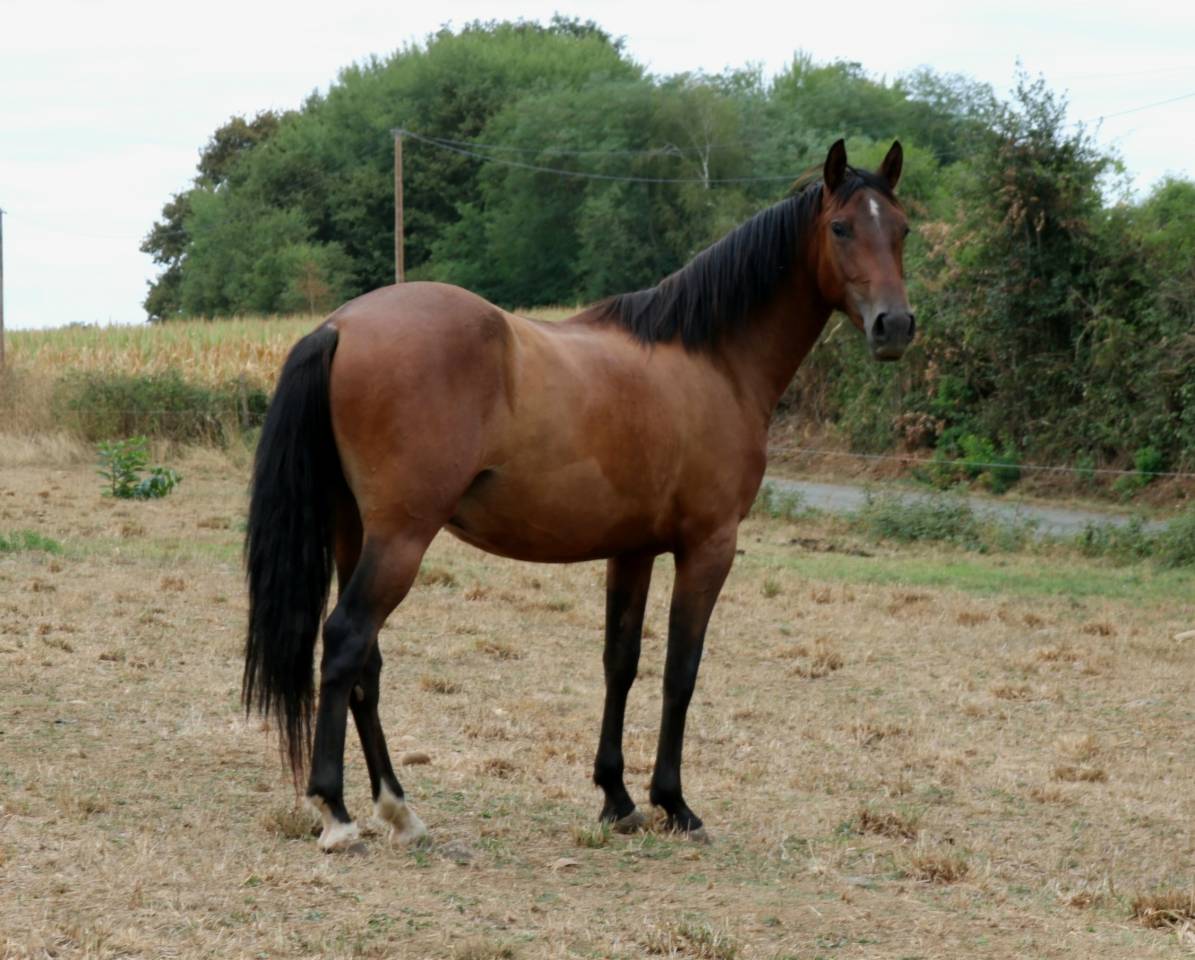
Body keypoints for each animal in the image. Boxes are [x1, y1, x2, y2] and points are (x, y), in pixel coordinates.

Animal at [243, 138, 914, 851]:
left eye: (902, 229)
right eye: (841, 228)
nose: (895, 326)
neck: (711, 359)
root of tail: (339, 325)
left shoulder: (634, 549)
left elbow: (620, 662)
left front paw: (617, 798)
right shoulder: (709, 547)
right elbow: (681, 670)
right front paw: (675, 804)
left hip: (355, 533)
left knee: (365, 662)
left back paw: (399, 809)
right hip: (400, 539)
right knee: (346, 641)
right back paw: (337, 811)